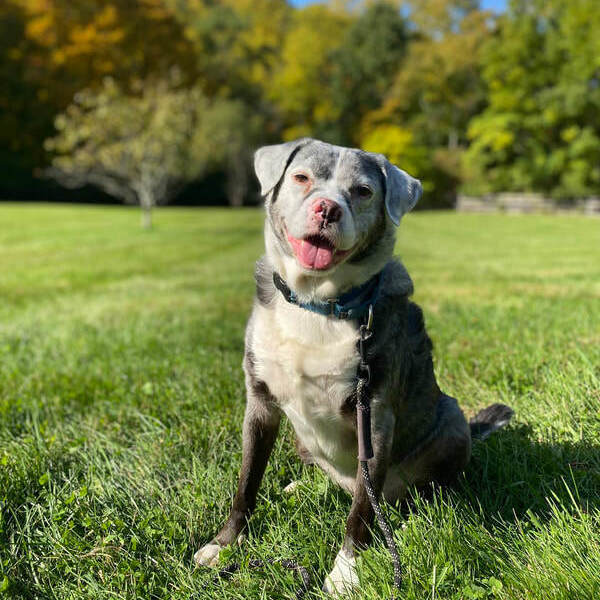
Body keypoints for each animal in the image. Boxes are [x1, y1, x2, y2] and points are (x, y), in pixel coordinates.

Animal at [195, 139, 512, 596]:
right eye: (301, 177)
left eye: (362, 191)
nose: (327, 208)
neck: (317, 304)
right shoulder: (260, 403)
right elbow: (246, 482)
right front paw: (222, 545)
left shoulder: (374, 420)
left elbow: (361, 512)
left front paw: (345, 574)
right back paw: (299, 486)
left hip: (451, 421)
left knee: (409, 490)